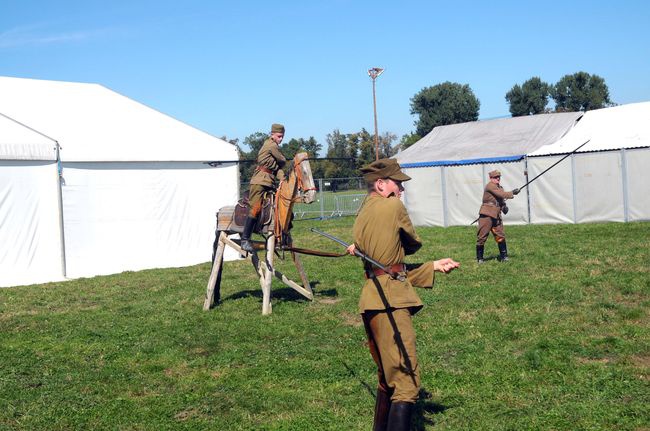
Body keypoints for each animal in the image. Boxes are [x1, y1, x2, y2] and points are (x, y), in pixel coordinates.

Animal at [201, 154, 316, 316]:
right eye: (304, 173)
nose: (311, 197)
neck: (280, 207)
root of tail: (219, 211)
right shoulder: (271, 236)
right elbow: (268, 274)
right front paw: (266, 310)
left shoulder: (286, 237)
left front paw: (310, 296)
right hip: (223, 233)